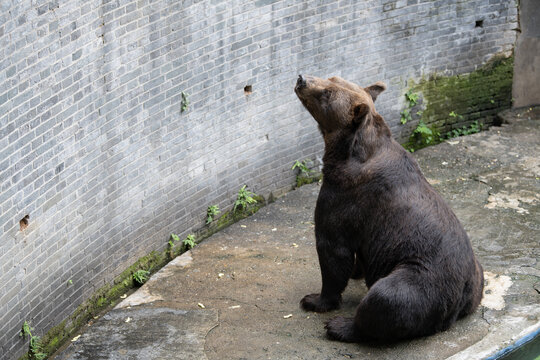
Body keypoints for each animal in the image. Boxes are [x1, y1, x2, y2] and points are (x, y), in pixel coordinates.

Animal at [296, 74, 486, 342]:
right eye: (331, 77)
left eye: (328, 93)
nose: (302, 79)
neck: (346, 152)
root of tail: (457, 304)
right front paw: (356, 270)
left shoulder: (345, 197)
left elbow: (333, 250)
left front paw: (315, 300)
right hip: (477, 278)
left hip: (422, 276)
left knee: (387, 296)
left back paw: (340, 326)